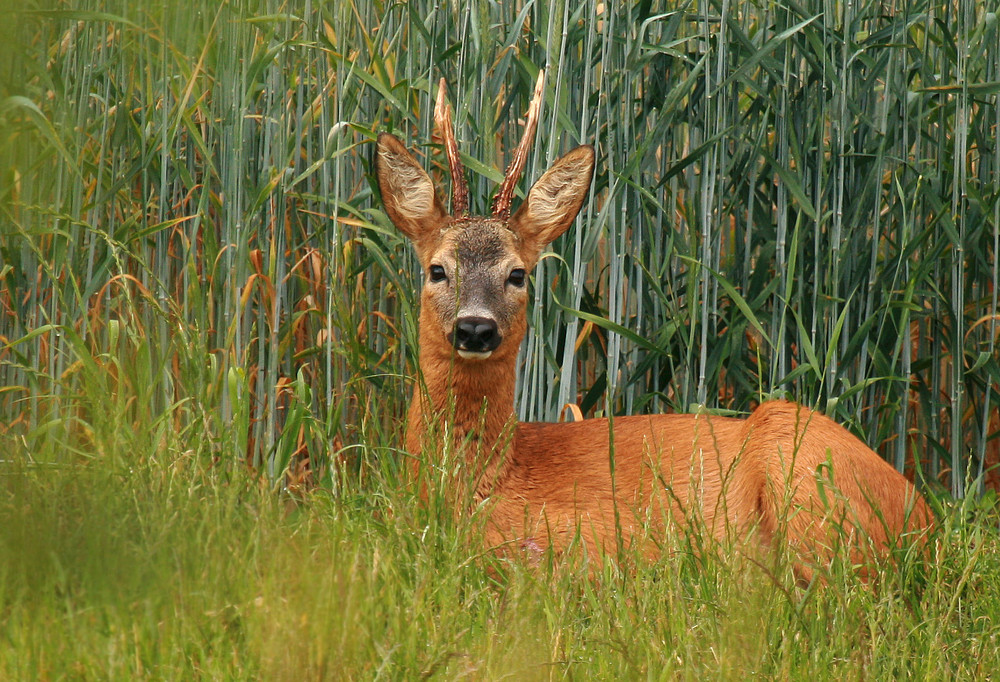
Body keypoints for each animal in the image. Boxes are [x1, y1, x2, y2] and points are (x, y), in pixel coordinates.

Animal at [374, 73, 928, 572]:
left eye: (518, 274)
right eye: (437, 269)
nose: (475, 329)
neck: (487, 481)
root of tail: (924, 518)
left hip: (803, 469)